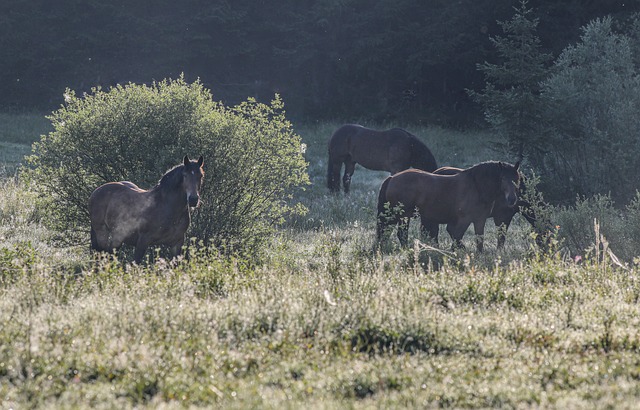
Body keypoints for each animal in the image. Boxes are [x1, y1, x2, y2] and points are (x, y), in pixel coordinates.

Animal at [376, 161, 520, 251]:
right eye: (502, 178)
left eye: (517, 179)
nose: (512, 199)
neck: (476, 186)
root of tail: (392, 178)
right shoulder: (464, 219)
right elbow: (457, 237)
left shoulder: (479, 219)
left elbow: (479, 240)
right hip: (403, 215)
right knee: (401, 234)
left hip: (392, 216)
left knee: (385, 233)